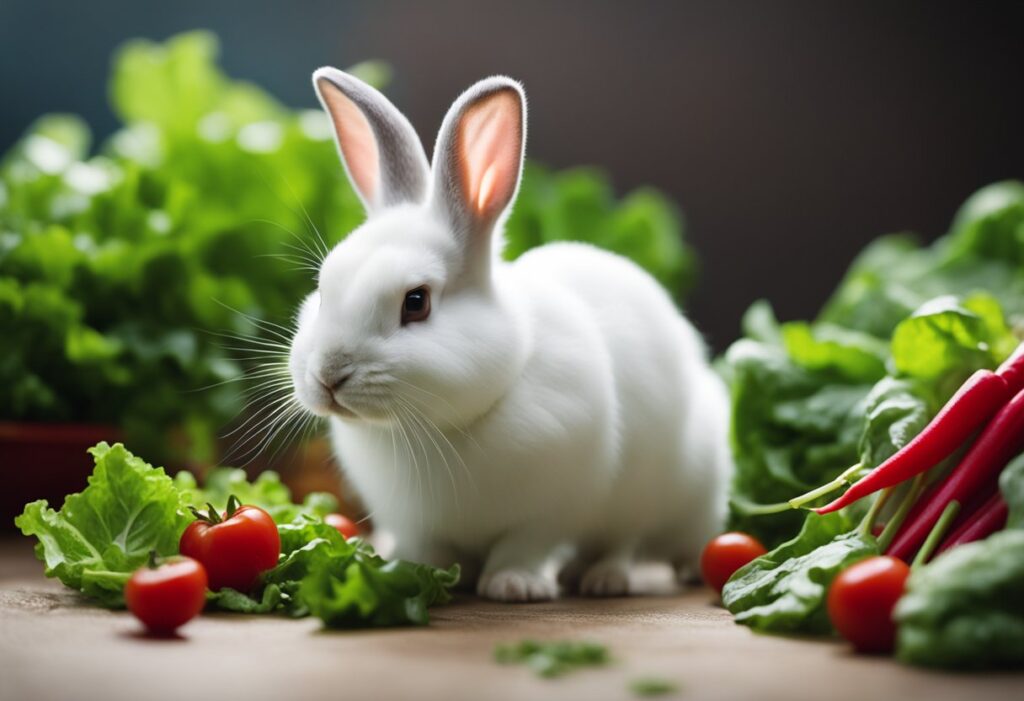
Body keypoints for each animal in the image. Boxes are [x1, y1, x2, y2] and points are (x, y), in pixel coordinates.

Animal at [288, 67, 733, 601]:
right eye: (322, 286)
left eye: (416, 302)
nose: (329, 376)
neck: (439, 429)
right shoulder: (416, 520)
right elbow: (430, 548)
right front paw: (422, 570)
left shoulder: (553, 504)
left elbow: (523, 546)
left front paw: (513, 586)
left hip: (655, 489)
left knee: (624, 541)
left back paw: (601, 580)